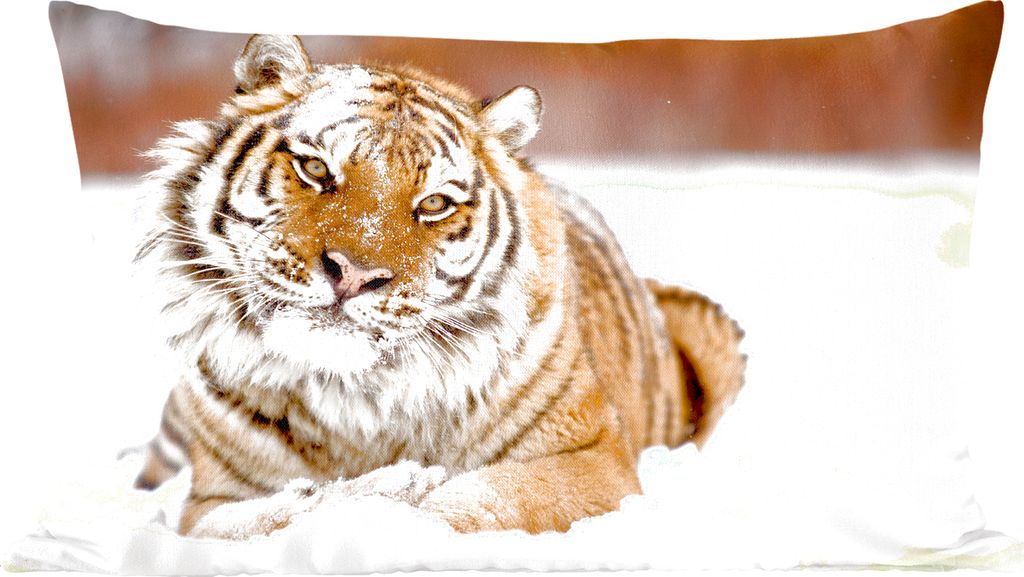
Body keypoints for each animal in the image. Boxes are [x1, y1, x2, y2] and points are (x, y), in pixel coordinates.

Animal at [132, 34, 746, 538]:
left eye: (434, 204)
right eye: (316, 169)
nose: (354, 274)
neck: (354, 400)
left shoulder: (593, 460)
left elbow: (479, 502)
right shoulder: (207, 503)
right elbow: (255, 521)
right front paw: (376, 489)